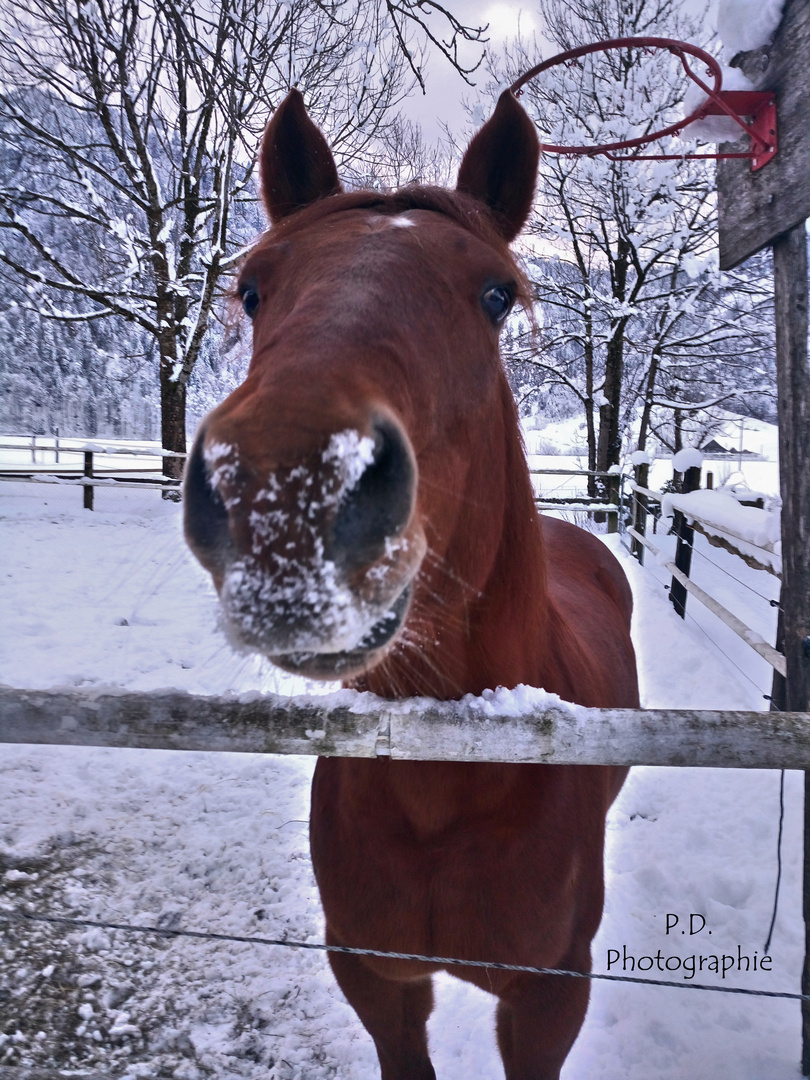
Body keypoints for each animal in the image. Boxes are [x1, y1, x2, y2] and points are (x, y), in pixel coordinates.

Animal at [183, 88, 639, 1075]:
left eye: (496, 294)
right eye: (253, 286)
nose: (285, 488)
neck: (448, 781)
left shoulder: (550, 999)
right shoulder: (376, 978)